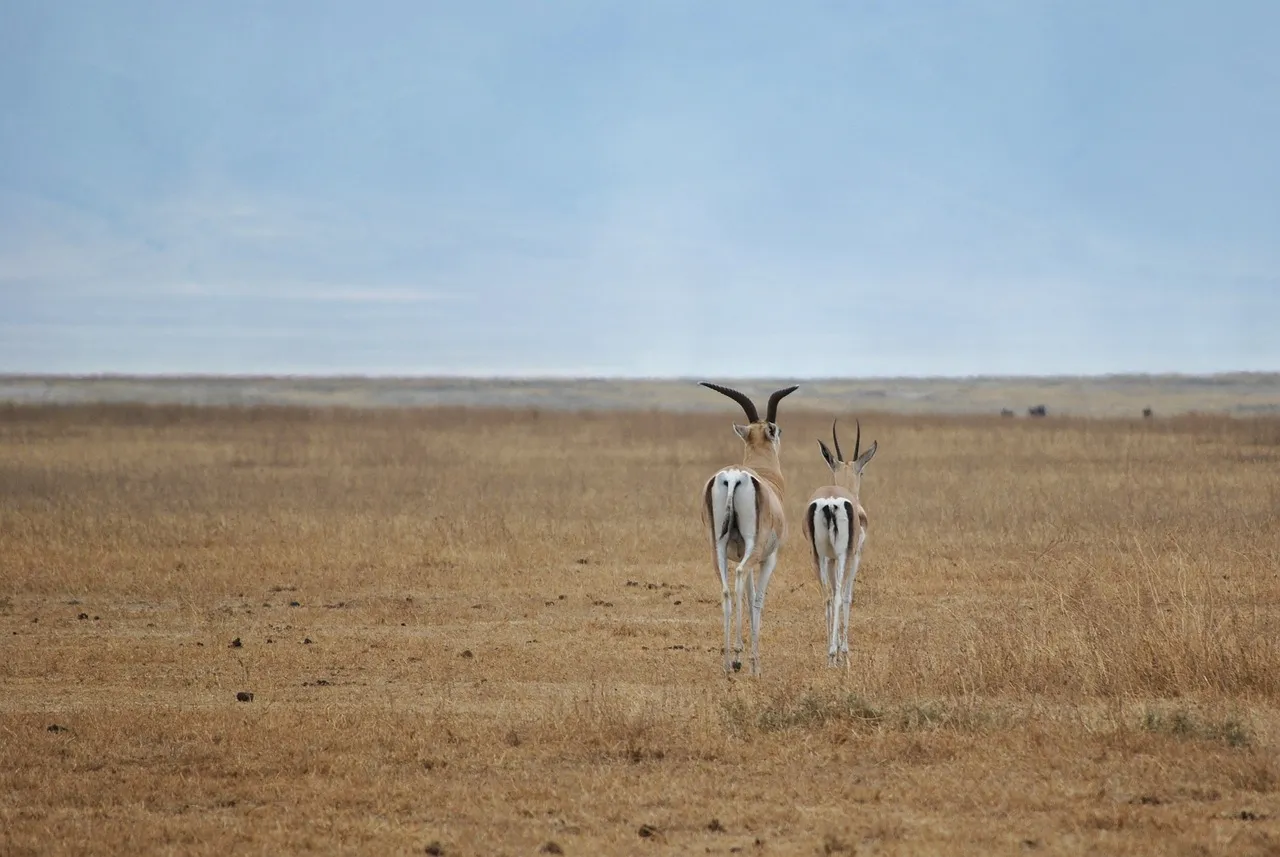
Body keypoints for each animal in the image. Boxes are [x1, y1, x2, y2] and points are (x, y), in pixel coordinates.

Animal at [701, 383, 798, 680]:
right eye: (778, 430)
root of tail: (734, 476)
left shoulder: (742, 553)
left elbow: (746, 593)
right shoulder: (768, 558)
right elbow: (757, 601)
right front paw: (756, 664)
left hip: (717, 550)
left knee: (725, 591)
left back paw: (726, 664)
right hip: (752, 552)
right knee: (740, 578)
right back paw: (738, 658)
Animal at [798, 419, 880, 670]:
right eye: (862, 471)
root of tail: (831, 501)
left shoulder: (830, 558)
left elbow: (834, 593)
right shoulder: (855, 555)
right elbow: (846, 596)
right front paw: (844, 652)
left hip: (817, 556)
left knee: (826, 596)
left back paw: (829, 655)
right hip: (843, 556)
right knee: (836, 597)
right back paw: (835, 653)